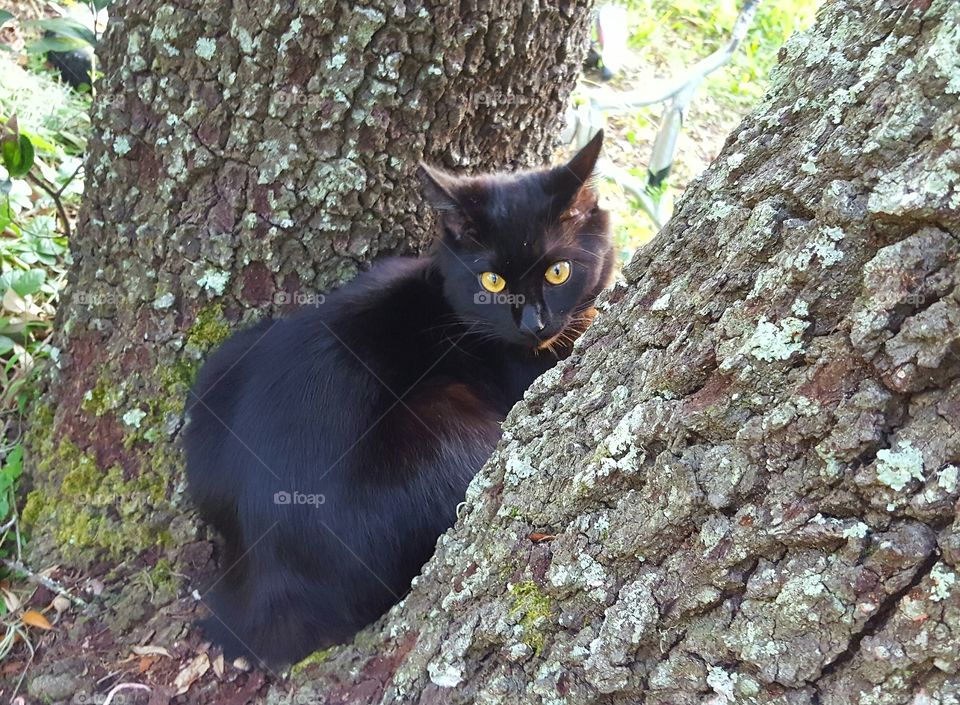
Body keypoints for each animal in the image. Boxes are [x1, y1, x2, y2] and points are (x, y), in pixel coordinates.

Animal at [181, 131, 616, 664]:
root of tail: (265, 573)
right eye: (491, 281)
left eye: (558, 272)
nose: (532, 324)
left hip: (220, 368)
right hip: (447, 431)